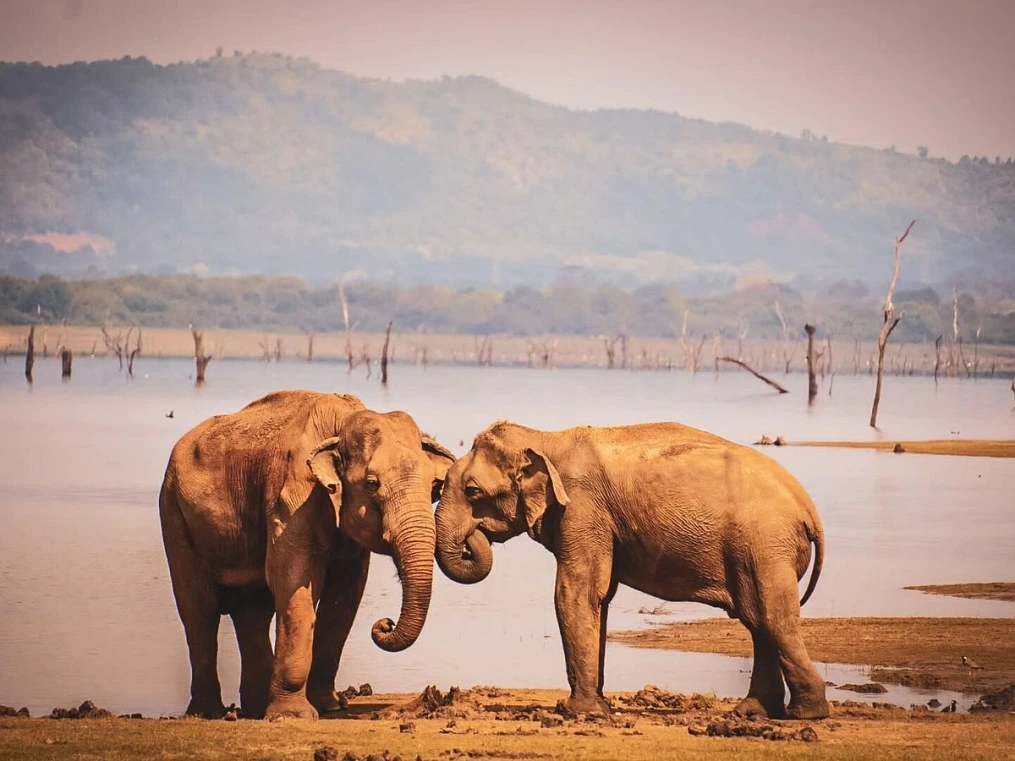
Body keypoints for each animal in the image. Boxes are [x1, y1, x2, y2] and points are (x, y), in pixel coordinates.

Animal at [159, 390, 454, 720]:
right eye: (371, 484)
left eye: (434, 485)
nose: (385, 623)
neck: (342, 421)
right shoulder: (293, 496)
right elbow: (293, 583)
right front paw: (292, 715)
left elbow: (345, 598)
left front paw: (328, 705)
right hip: (173, 513)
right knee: (200, 609)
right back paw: (208, 712)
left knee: (251, 609)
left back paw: (255, 708)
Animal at [434, 420, 828, 720]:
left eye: (472, 491)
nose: (472, 540)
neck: (546, 439)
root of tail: (808, 509)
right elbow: (600, 597)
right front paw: (598, 708)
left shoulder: (583, 510)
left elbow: (575, 593)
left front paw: (580, 712)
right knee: (758, 622)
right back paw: (753, 713)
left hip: (765, 546)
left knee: (771, 618)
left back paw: (805, 715)